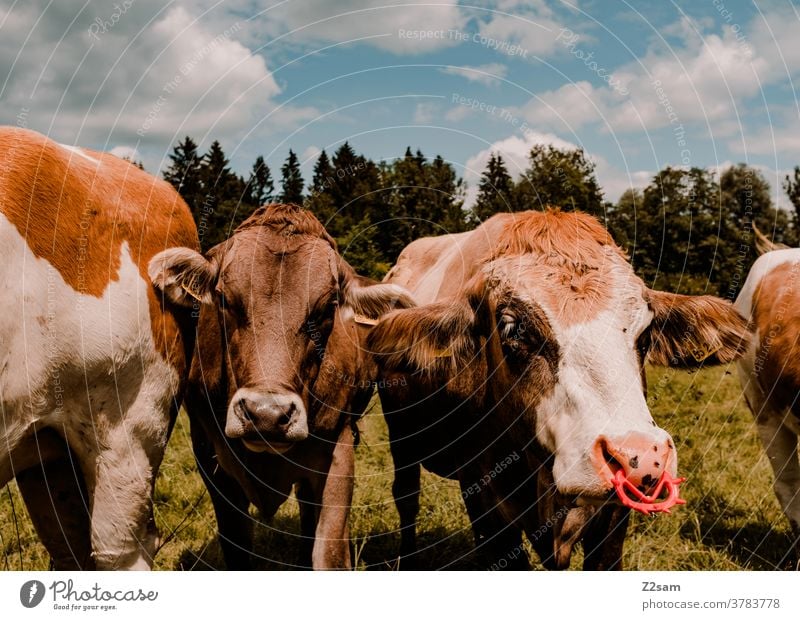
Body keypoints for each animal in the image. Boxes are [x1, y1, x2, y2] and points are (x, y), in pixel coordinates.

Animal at [147, 205, 416, 572]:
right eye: (224, 299)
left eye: (326, 308)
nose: (267, 415)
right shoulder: (209, 455)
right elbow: (237, 550)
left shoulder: (339, 449)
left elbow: (330, 555)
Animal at [366, 211, 752, 568]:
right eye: (513, 330)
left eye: (644, 332)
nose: (641, 457)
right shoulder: (483, 503)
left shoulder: (612, 520)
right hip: (401, 438)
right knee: (406, 497)